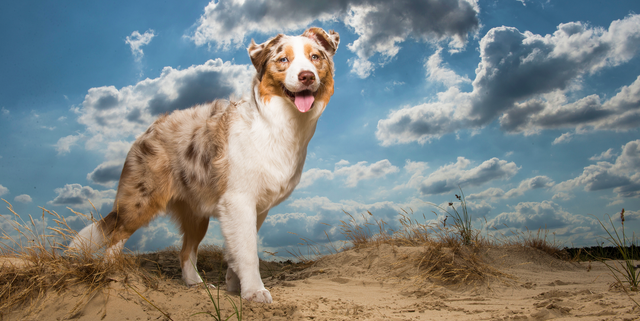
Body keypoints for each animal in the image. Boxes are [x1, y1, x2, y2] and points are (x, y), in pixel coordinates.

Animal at [68, 28, 340, 302]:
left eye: (315, 57)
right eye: (283, 59)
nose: (307, 76)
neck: (280, 123)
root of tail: (148, 130)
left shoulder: (258, 207)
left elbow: (237, 249)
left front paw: (235, 286)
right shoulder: (239, 200)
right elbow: (248, 251)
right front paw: (254, 291)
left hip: (196, 214)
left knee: (185, 251)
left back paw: (194, 284)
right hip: (140, 202)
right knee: (115, 236)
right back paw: (110, 274)